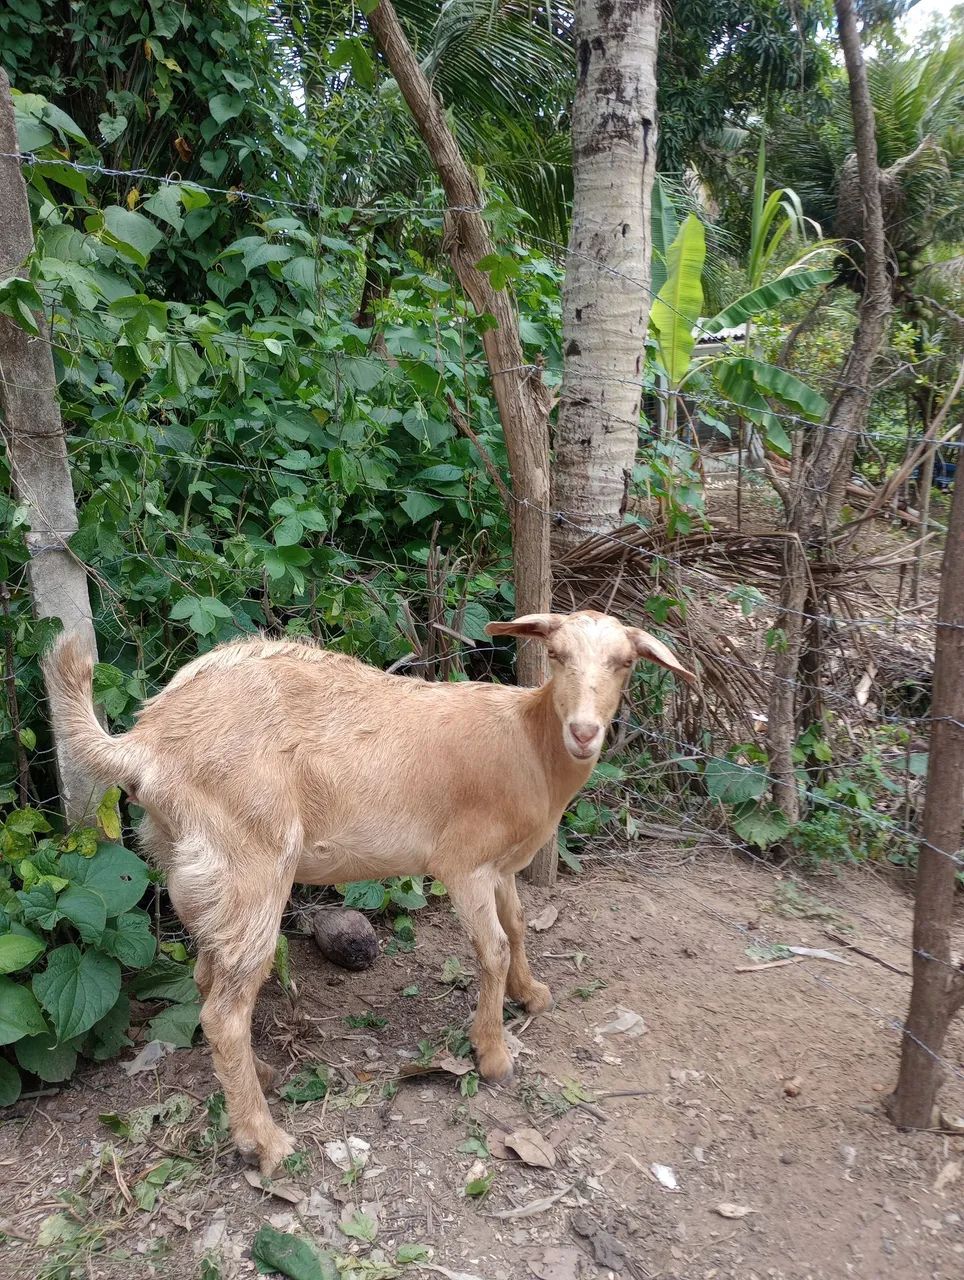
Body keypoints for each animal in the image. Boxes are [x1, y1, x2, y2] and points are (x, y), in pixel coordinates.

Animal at [45, 610, 695, 1172]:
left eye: (626, 663)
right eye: (556, 656)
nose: (584, 732)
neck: (529, 744)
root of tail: (147, 742)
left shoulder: (502, 868)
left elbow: (515, 926)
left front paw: (531, 995)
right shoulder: (463, 863)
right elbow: (492, 949)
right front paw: (493, 1054)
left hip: (196, 866)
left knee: (209, 982)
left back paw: (259, 1078)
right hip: (252, 858)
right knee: (225, 1011)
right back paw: (264, 1140)